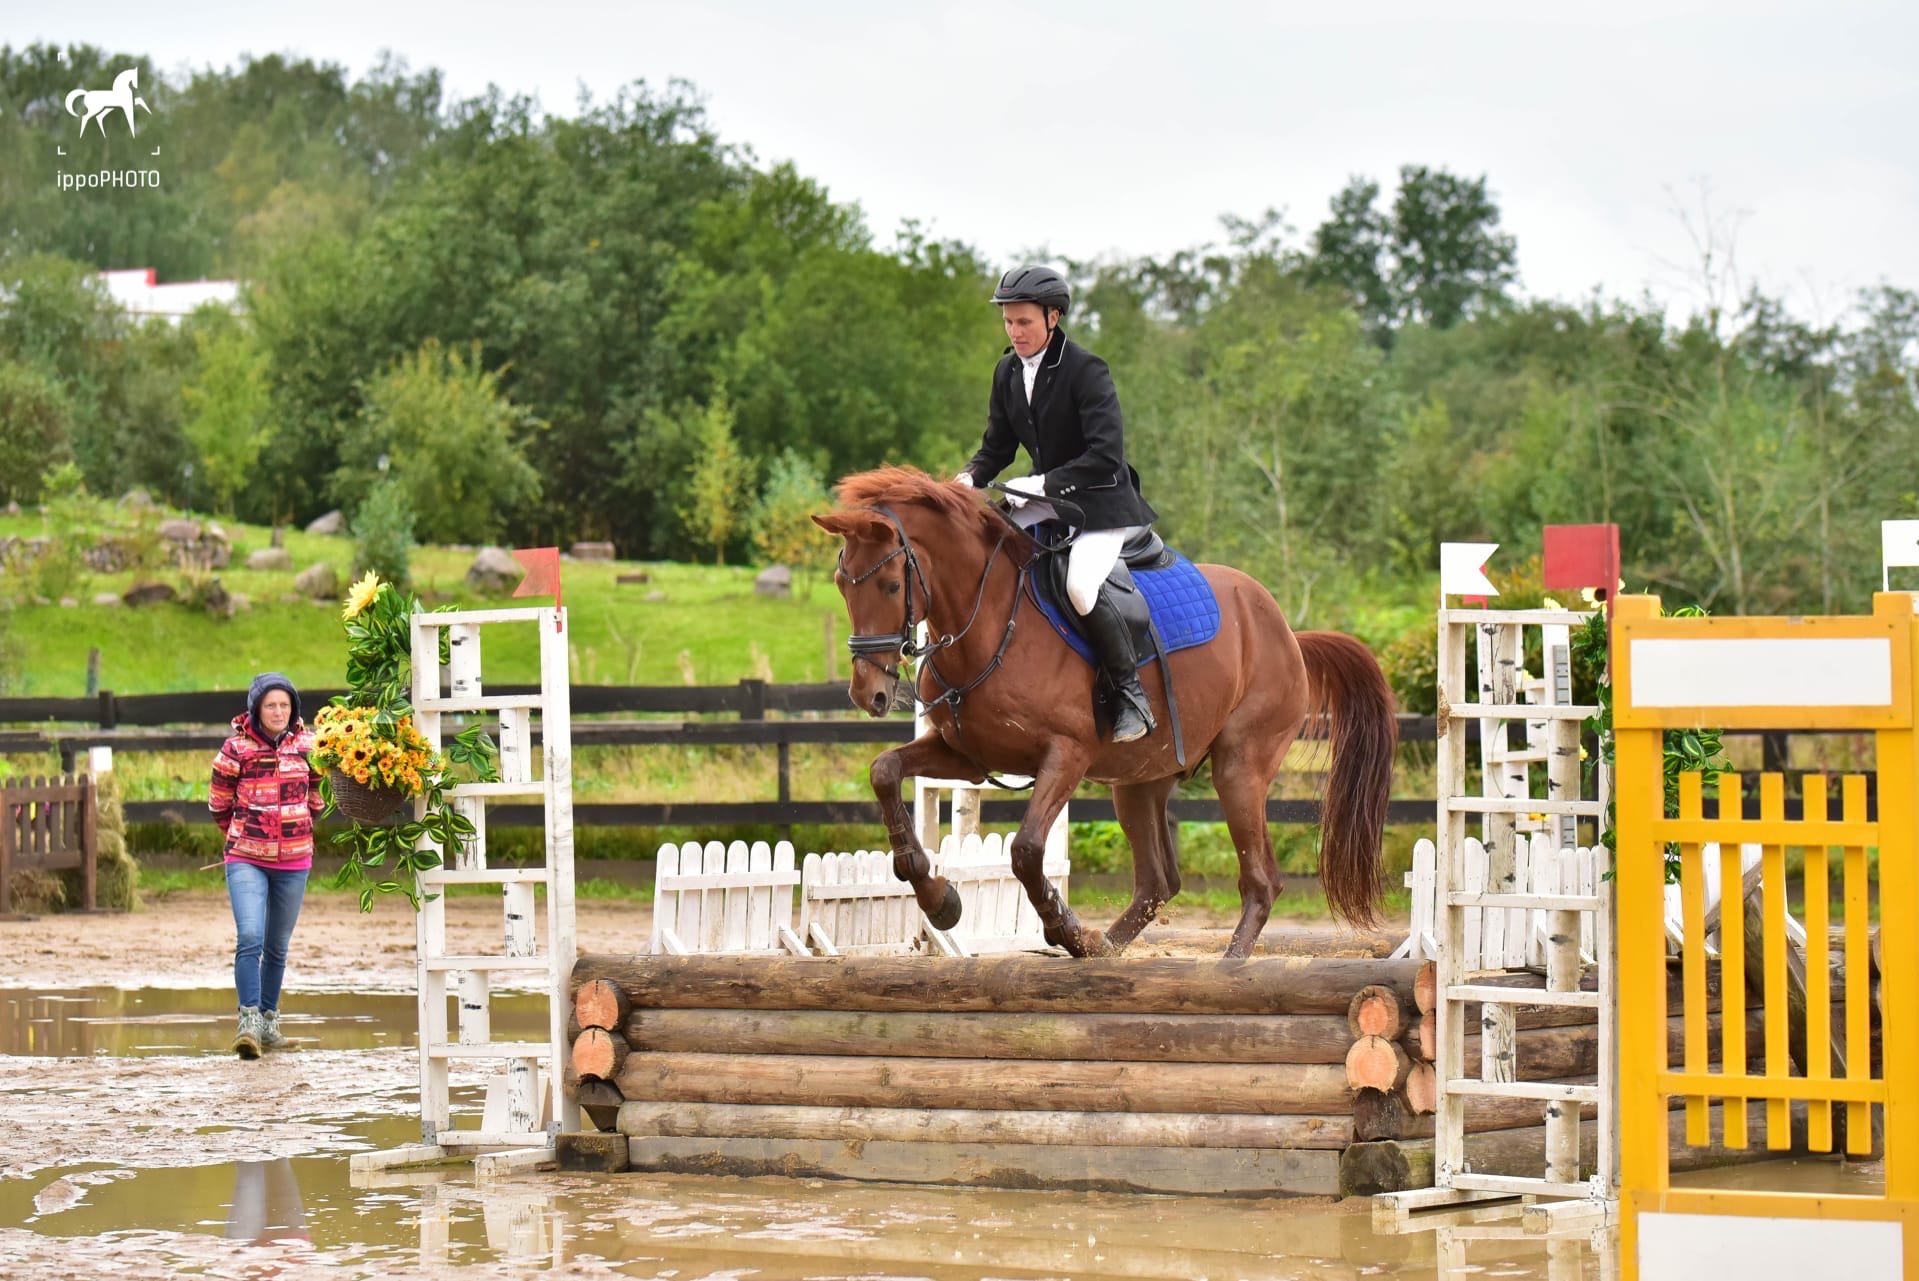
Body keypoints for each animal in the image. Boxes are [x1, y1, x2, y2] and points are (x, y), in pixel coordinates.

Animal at [812, 465, 1398, 959]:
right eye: (842, 584)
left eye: (892, 585)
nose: (868, 694)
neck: (991, 620)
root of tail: (1288, 632)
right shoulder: (966, 756)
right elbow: (884, 771)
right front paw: (938, 898)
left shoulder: (1066, 755)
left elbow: (1026, 850)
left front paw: (1058, 924)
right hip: (1139, 781)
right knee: (1159, 882)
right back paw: (1101, 948)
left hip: (1240, 769)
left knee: (1260, 881)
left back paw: (1224, 969)